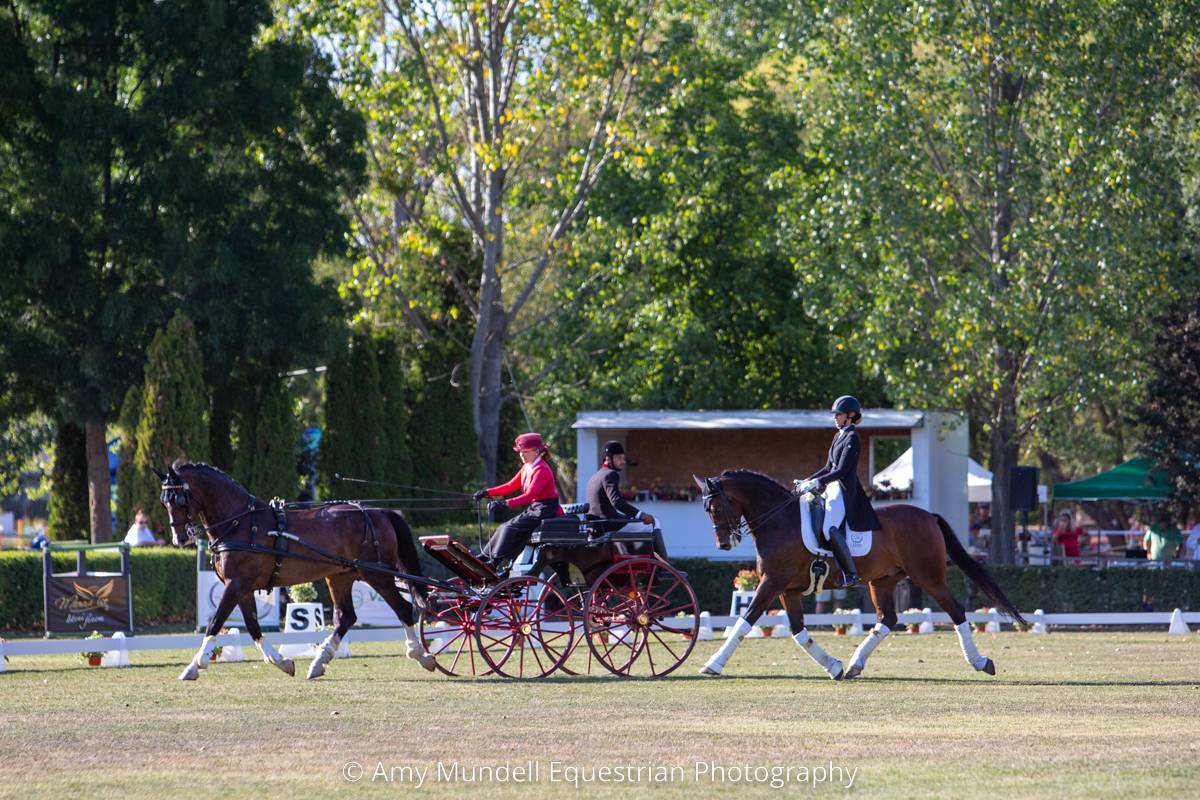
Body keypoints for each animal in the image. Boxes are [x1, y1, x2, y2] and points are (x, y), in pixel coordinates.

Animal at [155, 462, 437, 681]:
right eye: (164, 502)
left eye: (179, 499)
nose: (180, 538)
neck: (241, 523)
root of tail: (377, 511)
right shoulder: (242, 588)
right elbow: (253, 627)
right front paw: (282, 662)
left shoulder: (236, 584)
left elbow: (215, 622)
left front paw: (194, 666)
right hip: (340, 576)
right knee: (346, 617)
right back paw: (319, 662)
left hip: (378, 575)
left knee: (403, 609)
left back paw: (420, 654)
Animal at [693, 470, 1025, 680]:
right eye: (706, 511)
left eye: (717, 507)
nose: (724, 544)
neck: (780, 521)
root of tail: (928, 516)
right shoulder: (788, 590)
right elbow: (799, 633)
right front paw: (833, 667)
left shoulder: (772, 583)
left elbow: (744, 622)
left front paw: (712, 664)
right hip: (883, 581)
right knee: (887, 619)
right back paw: (855, 664)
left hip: (928, 576)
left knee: (956, 611)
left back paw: (981, 662)